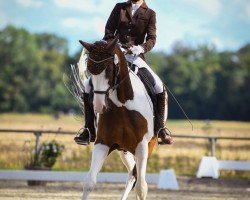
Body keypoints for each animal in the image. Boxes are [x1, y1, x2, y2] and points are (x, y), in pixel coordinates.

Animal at [79, 37, 167, 198]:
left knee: (135, 177)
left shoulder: (142, 146)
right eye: (89, 70)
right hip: (124, 150)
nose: (98, 106)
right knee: (131, 174)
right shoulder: (103, 143)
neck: (122, 105)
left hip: (149, 144)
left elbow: (141, 187)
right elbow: (89, 182)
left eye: (109, 69)